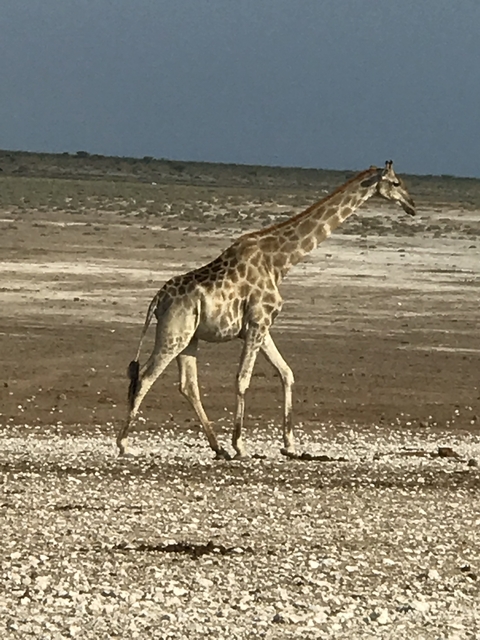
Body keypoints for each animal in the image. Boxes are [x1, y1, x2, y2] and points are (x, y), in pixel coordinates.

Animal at [116, 161, 415, 459]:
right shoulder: (258, 323)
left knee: (188, 385)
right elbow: (242, 379)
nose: (412, 205)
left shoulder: (261, 326)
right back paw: (125, 444)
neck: (279, 262)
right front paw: (240, 444)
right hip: (173, 334)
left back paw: (217, 447)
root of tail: (157, 300)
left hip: (190, 338)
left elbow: (286, 373)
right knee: (145, 377)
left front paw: (289, 444)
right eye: (396, 183)